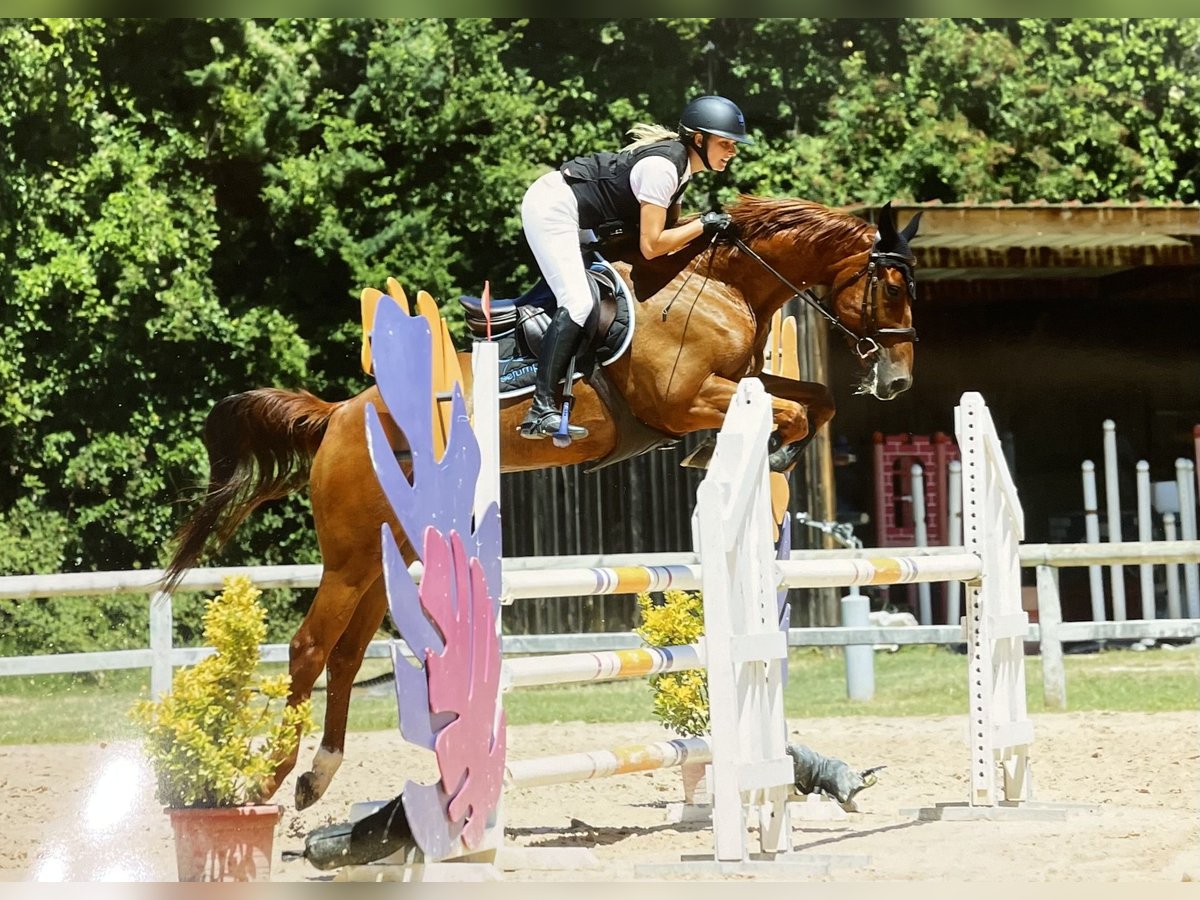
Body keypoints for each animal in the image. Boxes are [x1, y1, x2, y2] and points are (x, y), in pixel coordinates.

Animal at [164, 195, 921, 811]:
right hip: (349, 556)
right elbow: (788, 411)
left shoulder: (741, 380)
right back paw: (267, 777)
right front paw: (751, 451)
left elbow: (813, 400)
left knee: (347, 656)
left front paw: (765, 451)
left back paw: (318, 775)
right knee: (309, 648)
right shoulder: (681, 401)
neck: (717, 284)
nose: (898, 380)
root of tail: (339, 415)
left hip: (387, 554)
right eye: (888, 287)